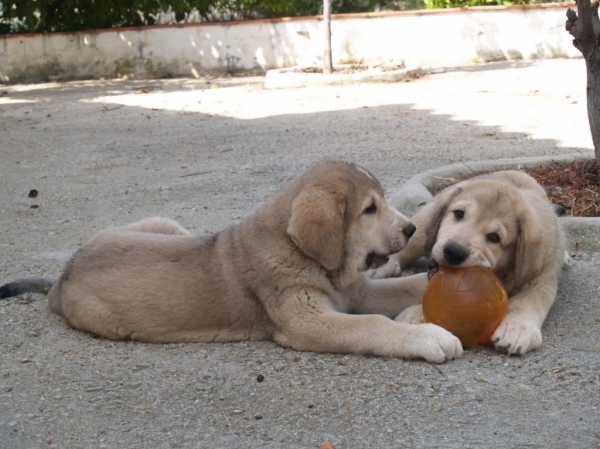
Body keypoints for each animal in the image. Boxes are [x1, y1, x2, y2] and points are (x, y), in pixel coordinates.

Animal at [0, 159, 464, 362]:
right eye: (369, 209)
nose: (412, 230)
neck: (316, 262)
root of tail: (62, 275)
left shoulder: (357, 293)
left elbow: (402, 288)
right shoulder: (307, 320)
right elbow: (373, 324)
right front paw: (428, 337)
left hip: (164, 224)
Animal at [372, 170, 564, 356]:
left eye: (494, 237)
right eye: (459, 213)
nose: (454, 252)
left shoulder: (542, 279)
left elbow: (529, 299)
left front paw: (517, 327)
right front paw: (418, 314)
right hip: (423, 225)